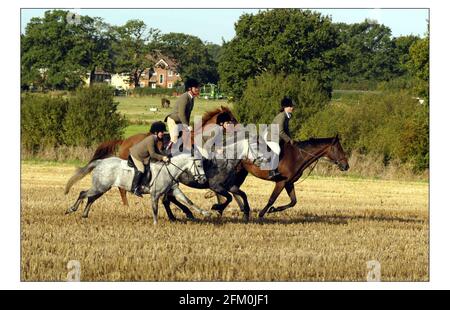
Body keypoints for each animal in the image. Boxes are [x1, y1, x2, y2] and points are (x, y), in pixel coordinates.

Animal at [64, 152, 210, 223]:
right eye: (199, 165)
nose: (203, 179)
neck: (168, 170)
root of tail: (100, 162)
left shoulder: (173, 190)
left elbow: (188, 201)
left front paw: (205, 213)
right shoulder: (155, 194)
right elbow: (155, 209)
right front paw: (156, 224)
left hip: (102, 188)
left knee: (90, 198)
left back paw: (84, 214)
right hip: (100, 187)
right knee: (83, 193)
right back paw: (71, 209)